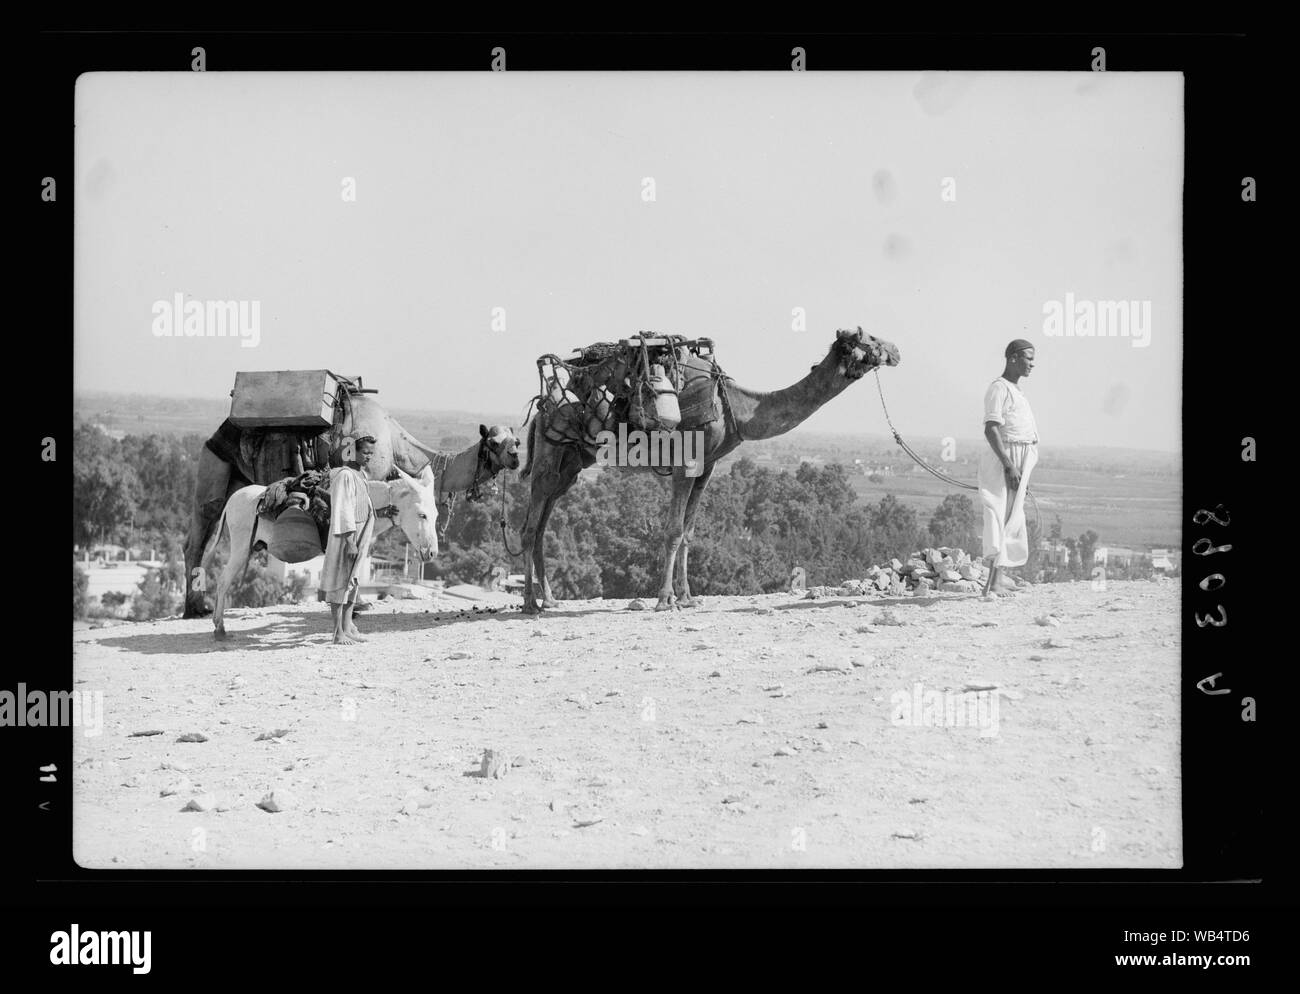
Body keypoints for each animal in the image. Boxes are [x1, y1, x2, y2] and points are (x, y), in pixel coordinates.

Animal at [183, 392, 517, 615]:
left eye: (515, 439)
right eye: (495, 442)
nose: (515, 457)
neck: (395, 443)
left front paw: (356, 603)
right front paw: (353, 604)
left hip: (238, 483)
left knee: (206, 540)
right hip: (212, 468)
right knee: (196, 539)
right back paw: (194, 609)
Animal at [200, 462, 439, 639]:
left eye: (436, 515)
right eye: (422, 515)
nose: (432, 553)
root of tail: (233, 498)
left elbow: (352, 586)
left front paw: (352, 625)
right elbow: (348, 586)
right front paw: (348, 627)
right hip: (241, 548)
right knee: (223, 582)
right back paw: (220, 628)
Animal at [512, 326, 899, 613]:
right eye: (870, 338)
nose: (896, 350)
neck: (735, 408)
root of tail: (543, 406)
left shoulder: (707, 467)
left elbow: (688, 533)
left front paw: (687, 597)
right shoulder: (686, 463)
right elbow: (671, 532)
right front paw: (665, 600)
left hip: (572, 465)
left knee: (542, 525)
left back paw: (550, 599)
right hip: (549, 455)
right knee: (529, 528)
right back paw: (530, 603)